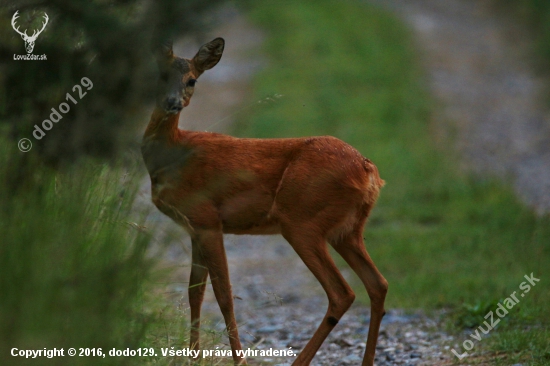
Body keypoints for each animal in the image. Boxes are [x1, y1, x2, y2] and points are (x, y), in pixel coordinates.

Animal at [143, 38, 392, 366]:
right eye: (161, 75)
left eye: (192, 80)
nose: (173, 102)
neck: (173, 155)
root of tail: (369, 172)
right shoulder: (194, 226)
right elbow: (194, 291)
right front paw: (192, 357)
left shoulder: (208, 219)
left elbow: (224, 295)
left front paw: (238, 360)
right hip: (347, 230)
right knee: (378, 284)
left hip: (303, 221)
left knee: (342, 293)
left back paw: (299, 361)